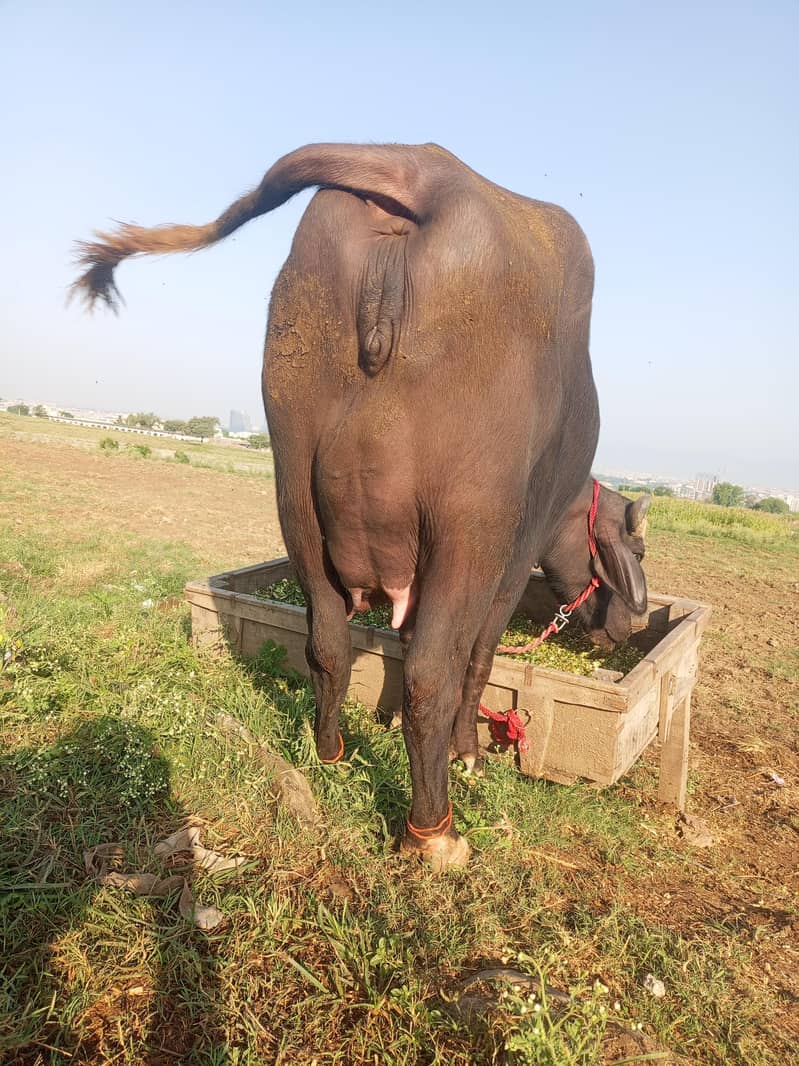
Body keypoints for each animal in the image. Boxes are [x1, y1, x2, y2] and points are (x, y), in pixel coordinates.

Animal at [73, 143, 649, 869]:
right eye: (635, 546)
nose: (627, 626)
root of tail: (424, 171)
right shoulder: (515, 555)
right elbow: (476, 655)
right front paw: (466, 753)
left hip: (293, 484)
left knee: (326, 641)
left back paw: (330, 754)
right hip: (467, 520)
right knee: (433, 671)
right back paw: (433, 832)